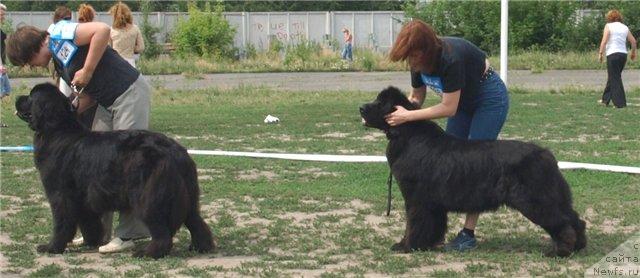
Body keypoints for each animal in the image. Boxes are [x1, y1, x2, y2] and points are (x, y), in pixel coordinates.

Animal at [15, 83, 214, 258]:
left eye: (30, 97)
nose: (17, 98)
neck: (57, 131)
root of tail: (175, 151)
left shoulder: (60, 194)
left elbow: (61, 222)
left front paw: (52, 247)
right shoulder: (84, 197)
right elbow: (89, 221)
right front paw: (91, 241)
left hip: (148, 198)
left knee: (162, 232)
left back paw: (147, 253)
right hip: (189, 194)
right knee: (196, 221)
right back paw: (201, 247)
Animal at [360, 86, 584, 256]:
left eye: (380, 103)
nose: (361, 107)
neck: (407, 134)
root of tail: (546, 154)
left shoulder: (417, 199)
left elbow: (413, 224)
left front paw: (405, 246)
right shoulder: (433, 203)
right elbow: (432, 225)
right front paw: (427, 244)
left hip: (536, 200)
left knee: (563, 222)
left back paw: (559, 251)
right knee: (575, 219)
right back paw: (579, 246)